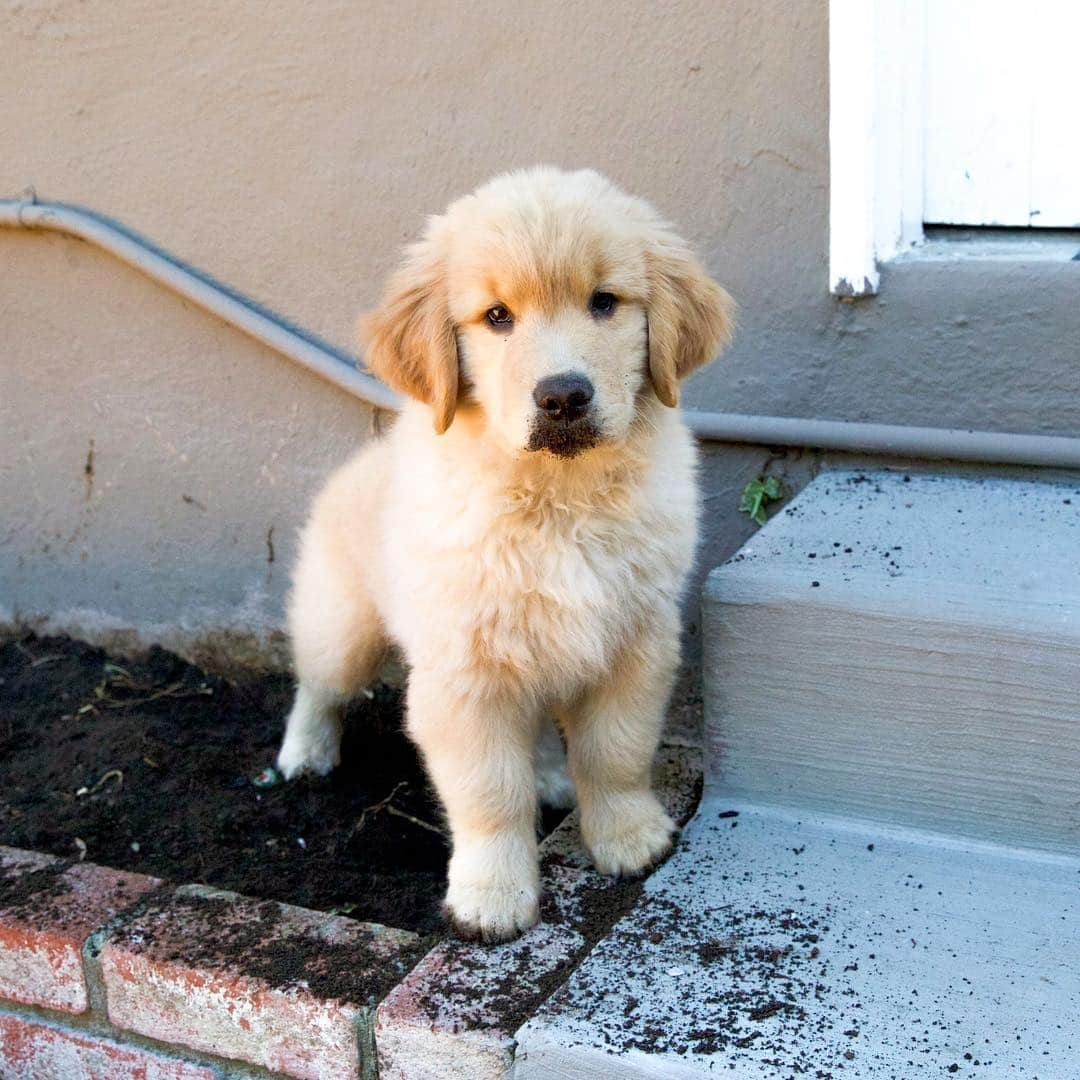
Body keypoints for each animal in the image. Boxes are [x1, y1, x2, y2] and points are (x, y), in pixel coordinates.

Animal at [278, 164, 734, 941]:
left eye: (604, 303)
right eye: (496, 317)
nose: (563, 397)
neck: (558, 500)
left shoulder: (636, 640)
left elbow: (616, 752)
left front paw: (627, 836)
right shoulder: (463, 670)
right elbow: (488, 790)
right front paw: (491, 894)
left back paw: (551, 776)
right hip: (341, 627)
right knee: (318, 683)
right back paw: (304, 754)